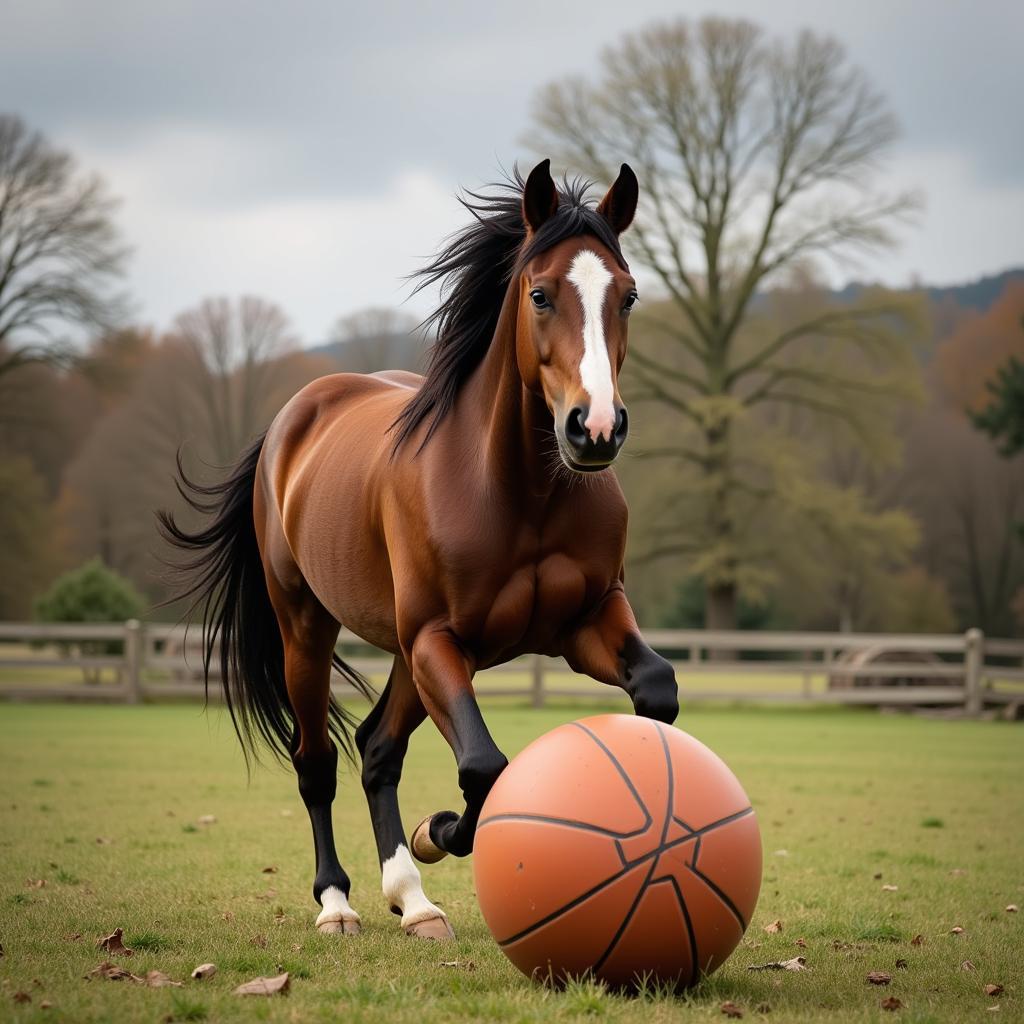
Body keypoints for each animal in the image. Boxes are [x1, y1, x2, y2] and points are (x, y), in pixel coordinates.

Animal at [161, 155, 679, 937]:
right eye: (539, 295)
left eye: (628, 295)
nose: (595, 429)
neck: (519, 493)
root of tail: (293, 420)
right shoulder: (441, 639)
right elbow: (484, 767)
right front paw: (439, 830)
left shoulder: (588, 624)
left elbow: (657, 690)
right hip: (309, 632)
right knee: (317, 761)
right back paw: (339, 903)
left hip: (405, 655)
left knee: (377, 750)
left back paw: (414, 900)